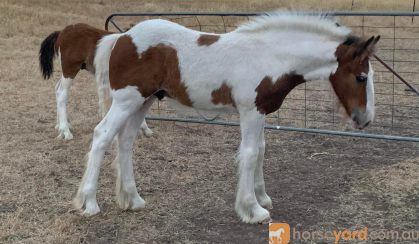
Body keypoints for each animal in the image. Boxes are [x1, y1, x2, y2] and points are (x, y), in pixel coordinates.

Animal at [74, 12, 380, 223]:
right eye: (361, 77)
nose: (365, 119)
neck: (270, 56)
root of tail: (121, 38)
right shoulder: (250, 112)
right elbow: (249, 153)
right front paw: (252, 210)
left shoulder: (260, 111)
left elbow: (261, 150)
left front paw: (262, 198)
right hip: (127, 100)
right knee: (102, 136)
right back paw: (89, 203)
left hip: (143, 102)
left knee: (125, 141)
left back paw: (133, 199)